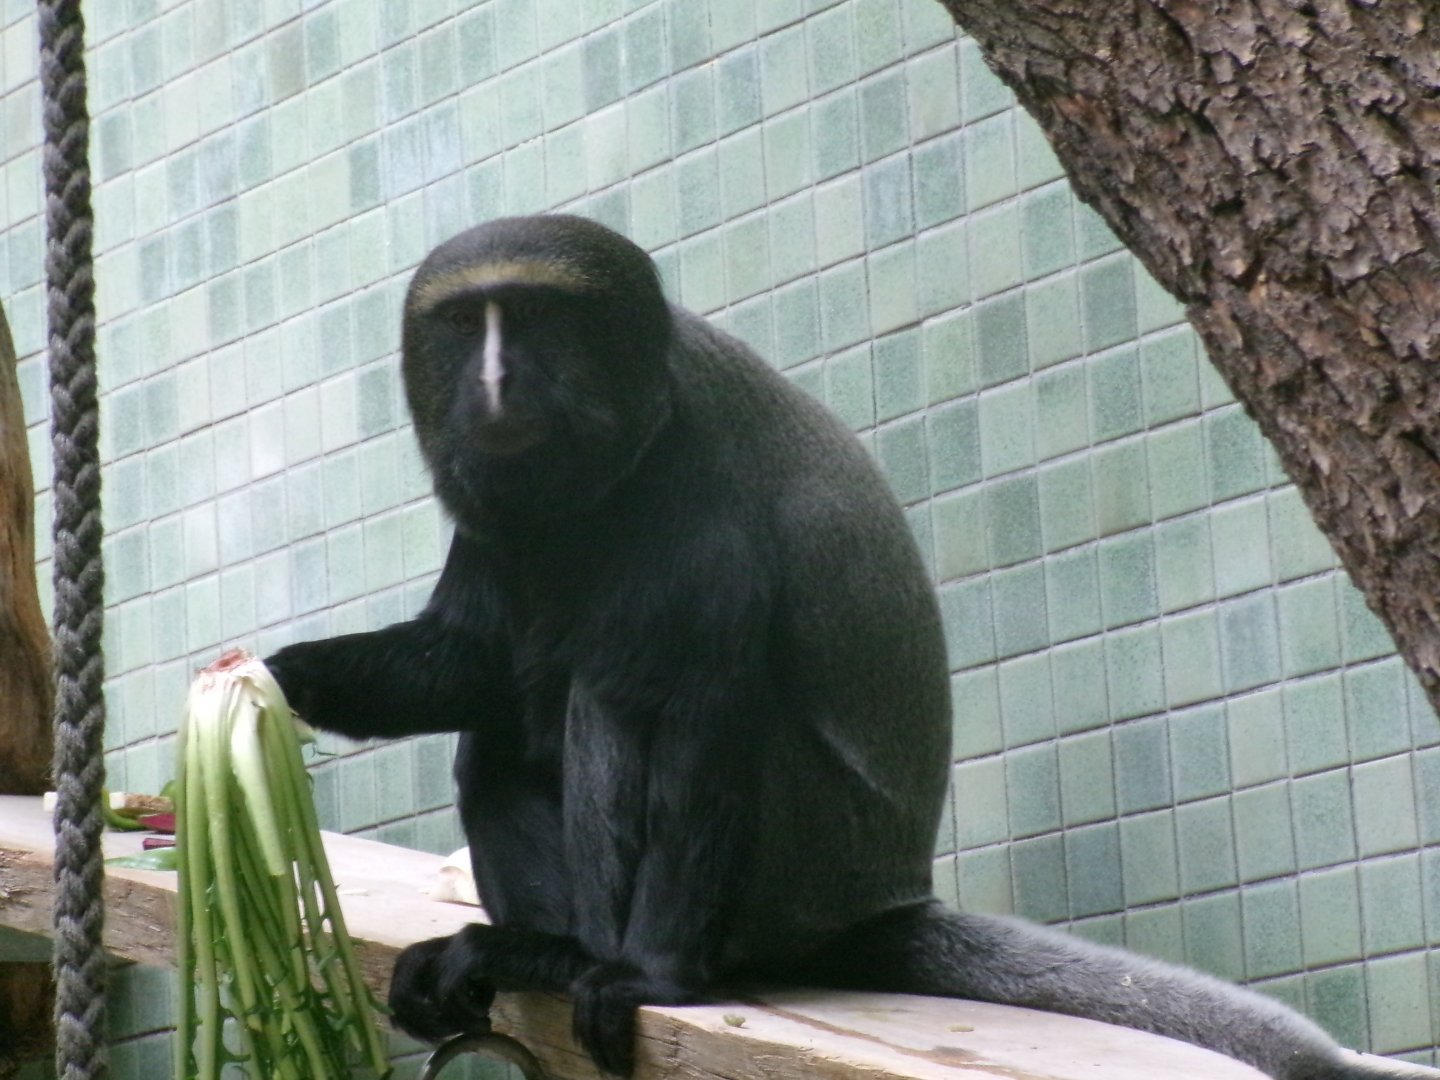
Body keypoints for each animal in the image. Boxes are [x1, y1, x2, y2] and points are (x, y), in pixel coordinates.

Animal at [266, 215, 1390, 1079]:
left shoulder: (698, 499)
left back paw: (579, 957)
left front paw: (653, 979)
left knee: (617, 703)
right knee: (497, 730)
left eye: (538, 320)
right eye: (465, 325)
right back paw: (532, 945)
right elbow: (470, 658)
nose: (495, 380)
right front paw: (278, 682)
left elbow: (697, 716)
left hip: (794, 871)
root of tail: (879, 904)